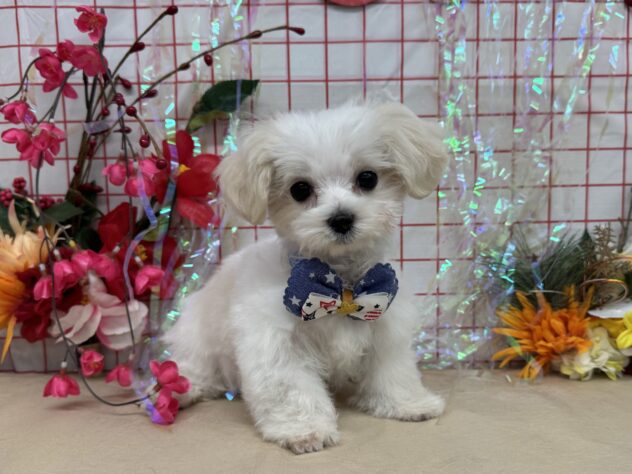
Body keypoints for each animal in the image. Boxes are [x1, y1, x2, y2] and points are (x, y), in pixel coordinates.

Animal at [163, 101, 449, 454]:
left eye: (368, 178)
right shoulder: (276, 341)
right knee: (193, 368)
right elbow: (292, 388)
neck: (339, 283)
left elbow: (392, 370)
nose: (341, 219)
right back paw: (180, 389)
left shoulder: (384, 324)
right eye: (300, 189)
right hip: (198, 339)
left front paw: (409, 403)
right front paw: (304, 429)